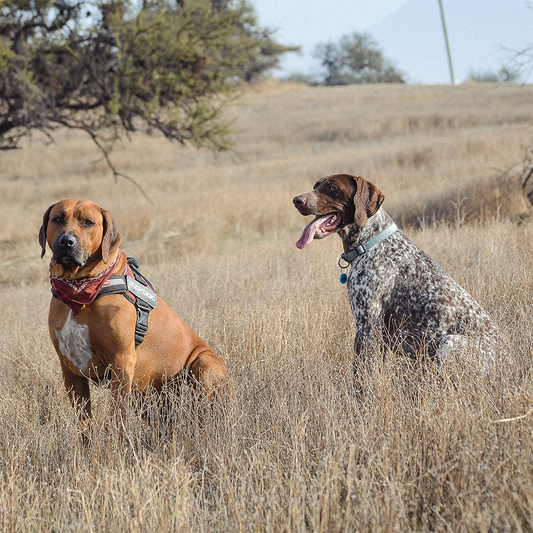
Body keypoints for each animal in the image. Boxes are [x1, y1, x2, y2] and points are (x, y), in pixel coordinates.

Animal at [39, 200, 227, 440]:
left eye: (88, 222)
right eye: (58, 219)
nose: (66, 241)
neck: (80, 290)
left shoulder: (121, 363)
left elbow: (115, 419)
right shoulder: (71, 370)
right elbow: (84, 426)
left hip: (205, 364)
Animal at [296, 172, 508, 368]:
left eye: (332, 188)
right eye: (316, 186)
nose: (297, 200)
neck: (370, 241)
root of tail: (510, 363)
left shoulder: (366, 326)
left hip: (449, 343)